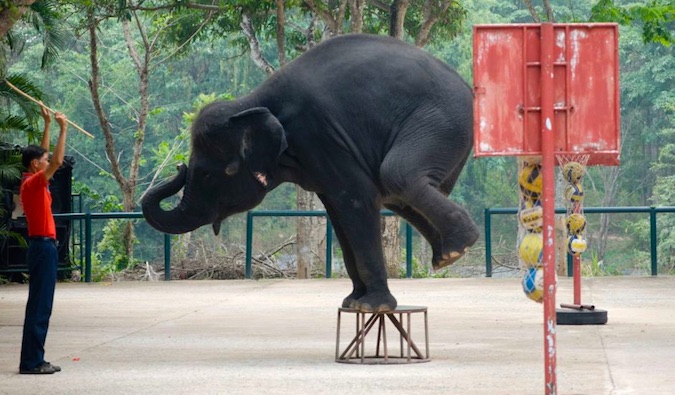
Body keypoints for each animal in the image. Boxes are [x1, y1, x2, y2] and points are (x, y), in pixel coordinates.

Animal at [141, 34, 480, 312]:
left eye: (207, 175)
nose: (178, 166)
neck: (251, 103)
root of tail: (468, 87)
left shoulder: (321, 135)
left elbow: (357, 199)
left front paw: (371, 307)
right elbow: (338, 212)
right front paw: (352, 302)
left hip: (441, 121)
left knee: (396, 175)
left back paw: (458, 248)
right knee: (396, 193)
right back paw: (446, 255)